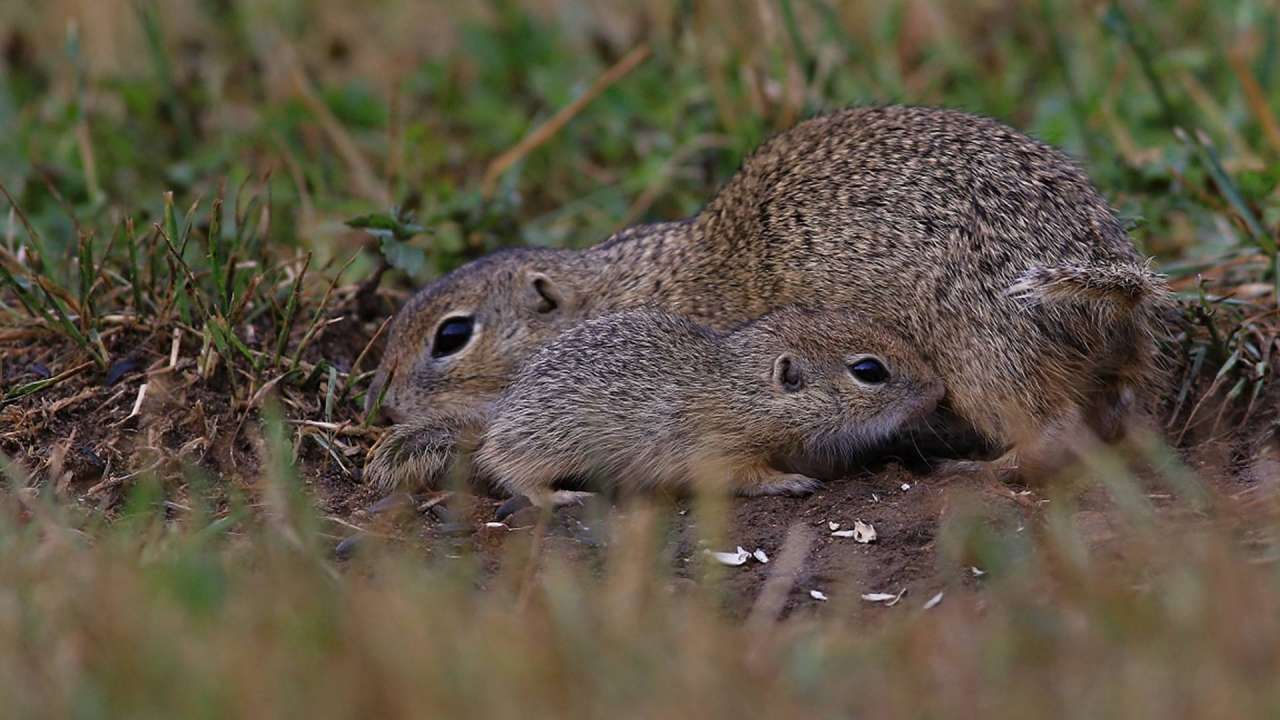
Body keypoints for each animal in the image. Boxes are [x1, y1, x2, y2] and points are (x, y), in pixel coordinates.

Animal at [473, 304, 952, 502]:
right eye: (869, 371)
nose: (937, 392)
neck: (748, 394)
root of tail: (505, 409)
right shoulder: (720, 451)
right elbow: (747, 477)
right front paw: (790, 483)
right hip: (545, 442)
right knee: (512, 471)